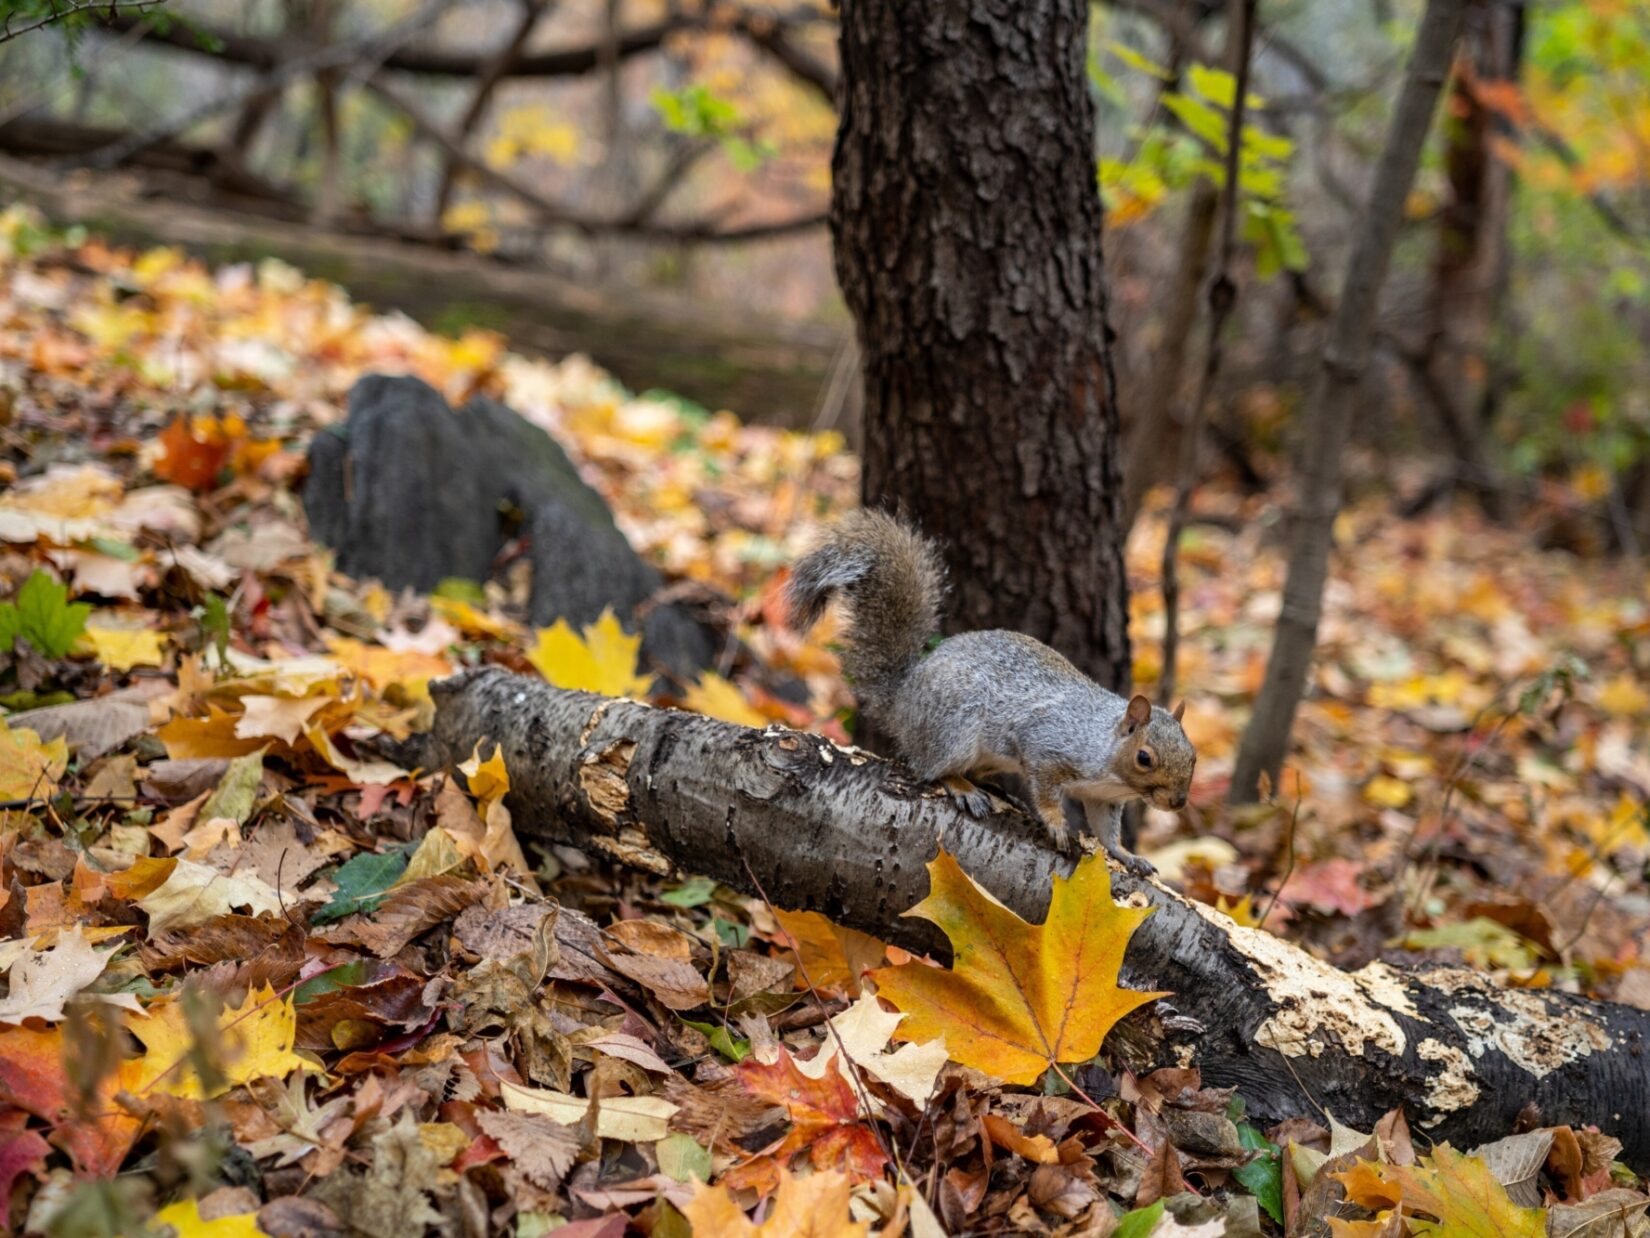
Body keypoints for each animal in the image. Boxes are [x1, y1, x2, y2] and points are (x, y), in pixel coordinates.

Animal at [788, 505, 1201, 871]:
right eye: (1144, 758)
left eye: (1193, 756)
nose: (1178, 802)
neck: (1107, 757)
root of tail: (904, 698)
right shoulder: (1046, 746)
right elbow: (1046, 792)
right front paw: (1056, 824)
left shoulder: (1103, 798)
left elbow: (1107, 831)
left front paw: (1126, 854)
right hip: (954, 728)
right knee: (929, 769)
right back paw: (963, 787)